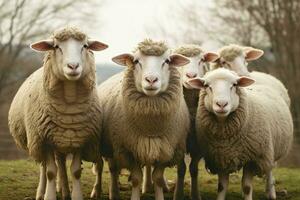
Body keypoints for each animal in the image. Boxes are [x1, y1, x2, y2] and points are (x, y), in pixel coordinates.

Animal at [7, 27, 109, 200]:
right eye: (56, 47)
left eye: (85, 46)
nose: (73, 66)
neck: (69, 103)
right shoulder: (44, 140)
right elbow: (50, 172)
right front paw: (49, 195)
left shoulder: (81, 139)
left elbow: (75, 171)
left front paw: (76, 195)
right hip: (38, 142)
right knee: (44, 167)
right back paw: (41, 192)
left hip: (60, 141)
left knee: (61, 164)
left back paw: (64, 190)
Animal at [96, 39, 190, 200]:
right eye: (136, 61)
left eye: (167, 61)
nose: (151, 80)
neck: (150, 126)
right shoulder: (128, 149)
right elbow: (135, 178)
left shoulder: (166, 150)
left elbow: (158, 178)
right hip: (112, 146)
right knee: (113, 169)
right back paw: (112, 192)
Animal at [171, 45, 218, 200]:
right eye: (181, 61)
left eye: (202, 60)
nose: (192, 76)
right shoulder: (179, 142)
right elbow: (181, 169)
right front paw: (178, 194)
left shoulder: (200, 144)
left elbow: (193, 169)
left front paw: (195, 194)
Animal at [188, 67, 292, 200]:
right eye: (207, 86)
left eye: (234, 85)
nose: (221, 104)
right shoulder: (221, 157)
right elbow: (222, 186)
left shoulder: (252, 159)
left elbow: (247, 187)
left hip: (269, 150)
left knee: (269, 170)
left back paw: (271, 193)